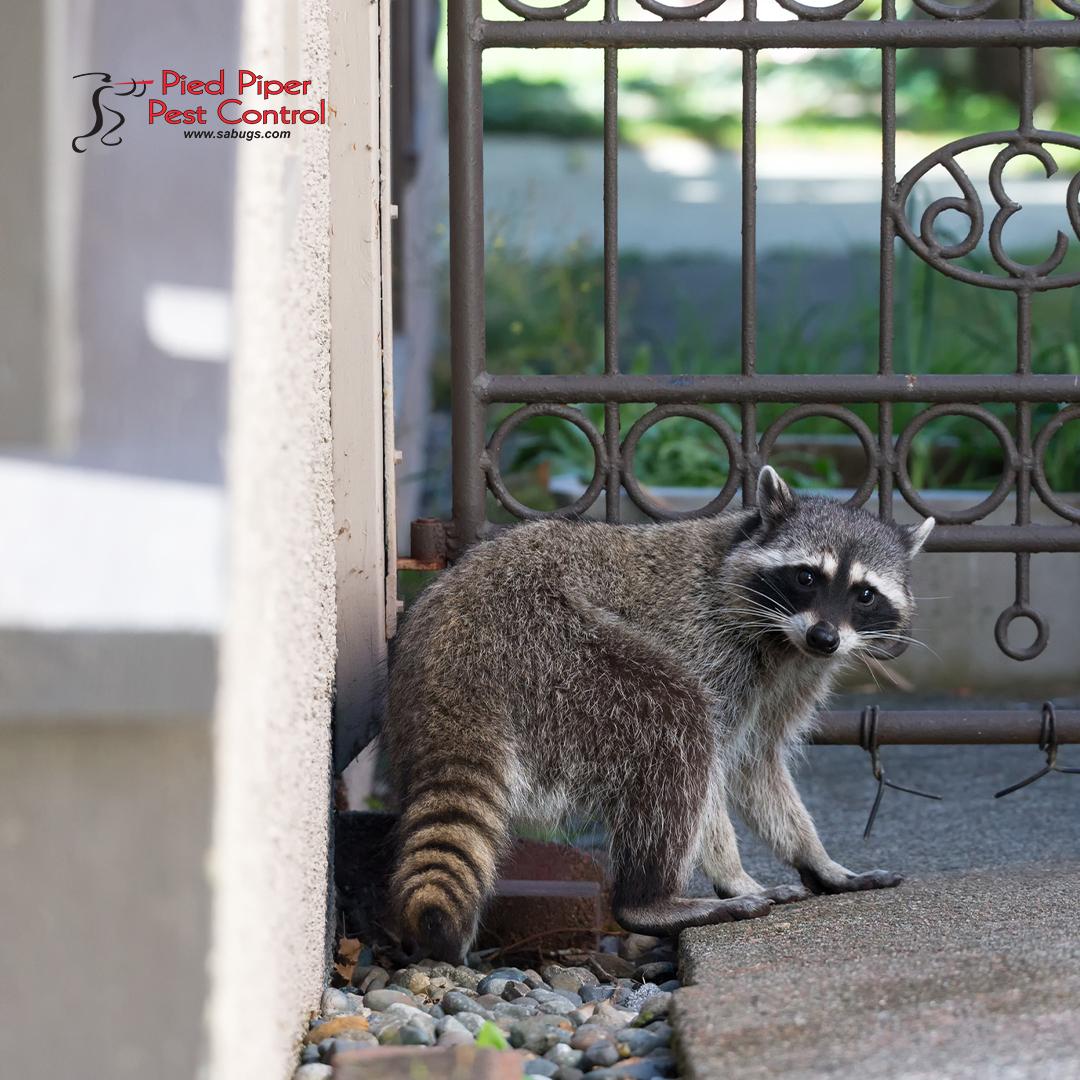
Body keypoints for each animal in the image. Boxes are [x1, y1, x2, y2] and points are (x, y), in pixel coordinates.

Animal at [383, 466, 934, 962]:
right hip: (552, 647)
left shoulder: (791, 679)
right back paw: (650, 900)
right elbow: (713, 769)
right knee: (675, 721)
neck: (783, 638)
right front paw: (733, 875)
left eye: (865, 594)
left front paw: (818, 859)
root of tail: (451, 655)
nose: (825, 637)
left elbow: (757, 765)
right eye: (805, 576)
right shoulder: (707, 643)